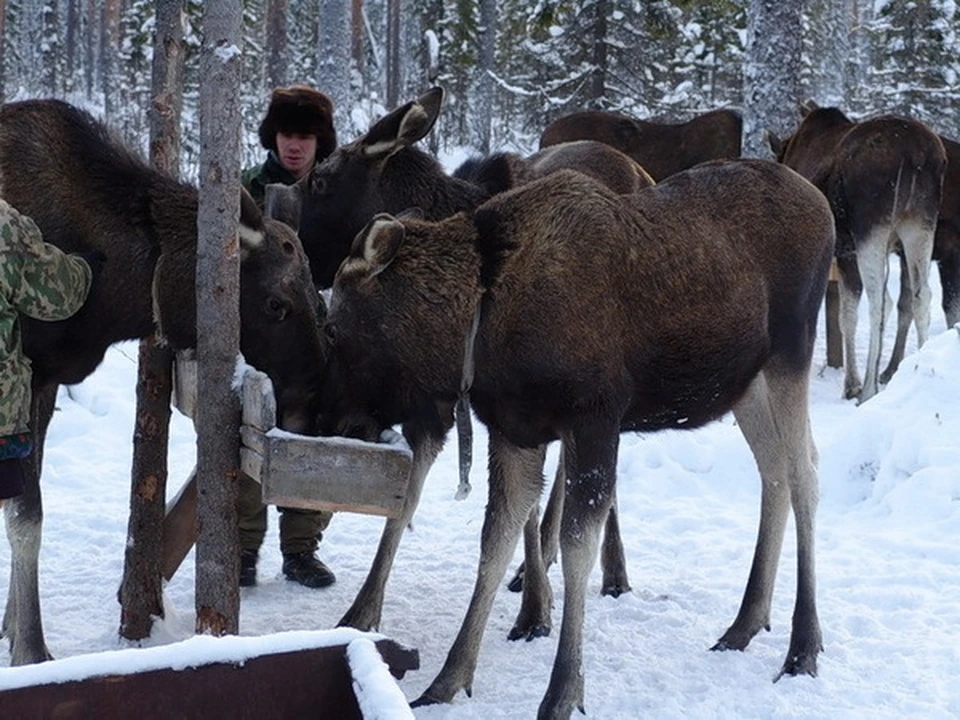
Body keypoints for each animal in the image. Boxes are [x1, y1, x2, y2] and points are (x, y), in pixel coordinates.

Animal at [0, 98, 326, 668]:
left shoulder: (46, 381)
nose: (316, 397)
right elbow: (27, 515)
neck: (119, 290)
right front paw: (31, 650)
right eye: (276, 304)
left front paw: (10, 630)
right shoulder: (29, 371)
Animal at [322, 159, 832, 720]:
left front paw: (563, 690)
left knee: (806, 472)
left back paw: (803, 646)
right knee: (774, 472)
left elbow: (574, 546)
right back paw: (746, 622)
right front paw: (448, 679)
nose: (337, 424)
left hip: (791, 352)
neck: (481, 322)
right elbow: (496, 539)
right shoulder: (516, 429)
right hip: (745, 383)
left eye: (332, 327)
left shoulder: (594, 419)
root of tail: (825, 205)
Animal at [772, 106, 944, 402]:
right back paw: (918, 365)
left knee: (880, 302)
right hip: (919, 226)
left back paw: (869, 390)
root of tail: (915, 153)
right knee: (921, 296)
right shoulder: (848, 252)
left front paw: (852, 384)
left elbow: (846, 317)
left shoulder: (844, 252)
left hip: (870, 229)